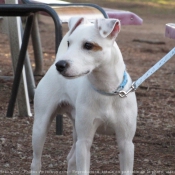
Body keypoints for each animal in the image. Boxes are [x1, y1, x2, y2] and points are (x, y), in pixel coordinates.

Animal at [31, 16, 138, 175]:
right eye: (69, 43)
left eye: (88, 45)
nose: (60, 65)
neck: (106, 91)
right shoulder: (84, 142)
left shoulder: (126, 144)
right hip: (41, 127)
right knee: (36, 162)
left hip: (76, 130)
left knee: (70, 159)